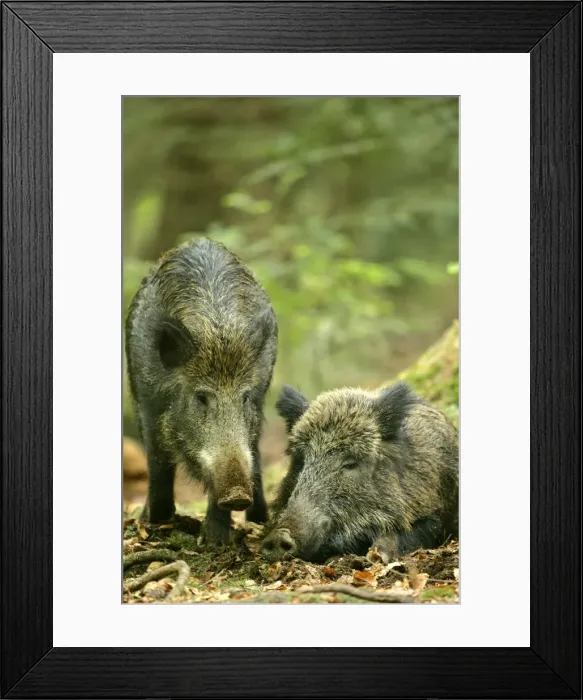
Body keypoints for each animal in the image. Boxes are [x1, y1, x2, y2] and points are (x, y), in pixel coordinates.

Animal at [125, 237, 277, 544]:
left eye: (244, 397)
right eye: (201, 397)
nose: (237, 494)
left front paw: (215, 542)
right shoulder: (148, 406)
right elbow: (159, 467)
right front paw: (157, 524)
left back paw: (259, 521)